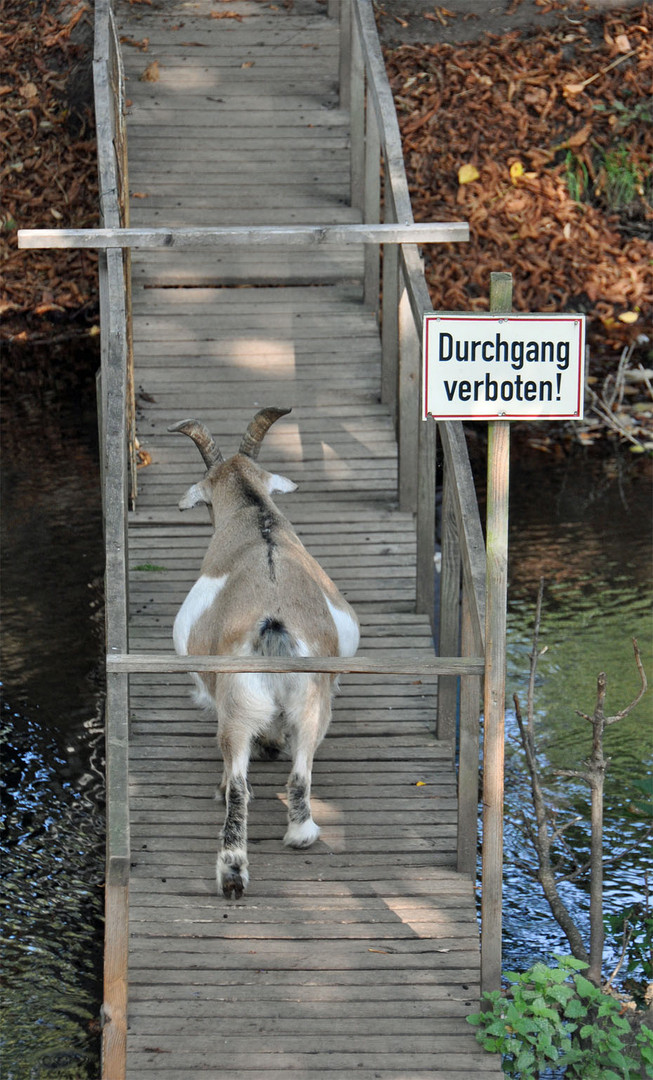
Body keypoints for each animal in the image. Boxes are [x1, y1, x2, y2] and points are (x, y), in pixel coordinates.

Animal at [168, 408, 358, 898]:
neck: (257, 518)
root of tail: (274, 625)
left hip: (238, 705)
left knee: (239, 785)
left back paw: (232, 873)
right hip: (314, 706)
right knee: (300, 773)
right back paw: (300, 835)